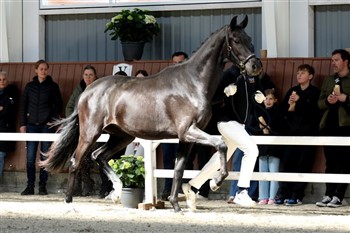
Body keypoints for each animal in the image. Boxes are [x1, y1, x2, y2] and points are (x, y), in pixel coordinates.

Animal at [41, 15, 262, 213]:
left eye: (250, 39)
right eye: (236, 40)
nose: (255, 66)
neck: (192, 82)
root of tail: (87, 91)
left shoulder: (185, 138)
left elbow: (178, 169)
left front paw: (175, 205)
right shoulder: (189, 131)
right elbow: (221, 144)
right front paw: (216, 182)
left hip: (121, 136)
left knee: (99, 156)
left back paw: (117, 192)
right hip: (90, 133)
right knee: (75, 162)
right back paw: (70, 204)